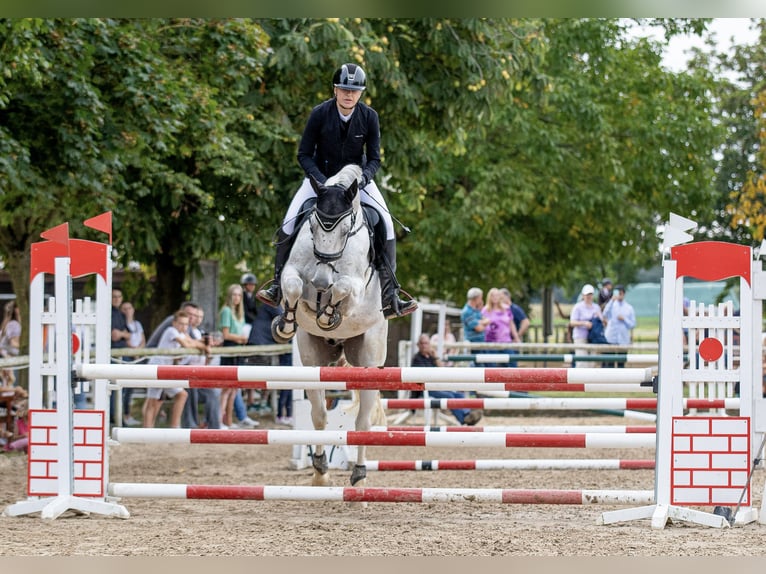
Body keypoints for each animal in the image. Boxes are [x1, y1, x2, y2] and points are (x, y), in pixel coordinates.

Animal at [272, 164, 388, 488]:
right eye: (311, 226)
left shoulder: (357, 288)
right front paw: (287, 321)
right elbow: (294, 286)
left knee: (362, 422)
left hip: (369, 362)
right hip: (313, 362)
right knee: (320, 415)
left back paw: (359, 476)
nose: (321, 280)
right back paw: (320, 472)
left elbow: (343, 288)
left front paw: (328, 314)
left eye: (345, 229)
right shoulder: (291, 272)